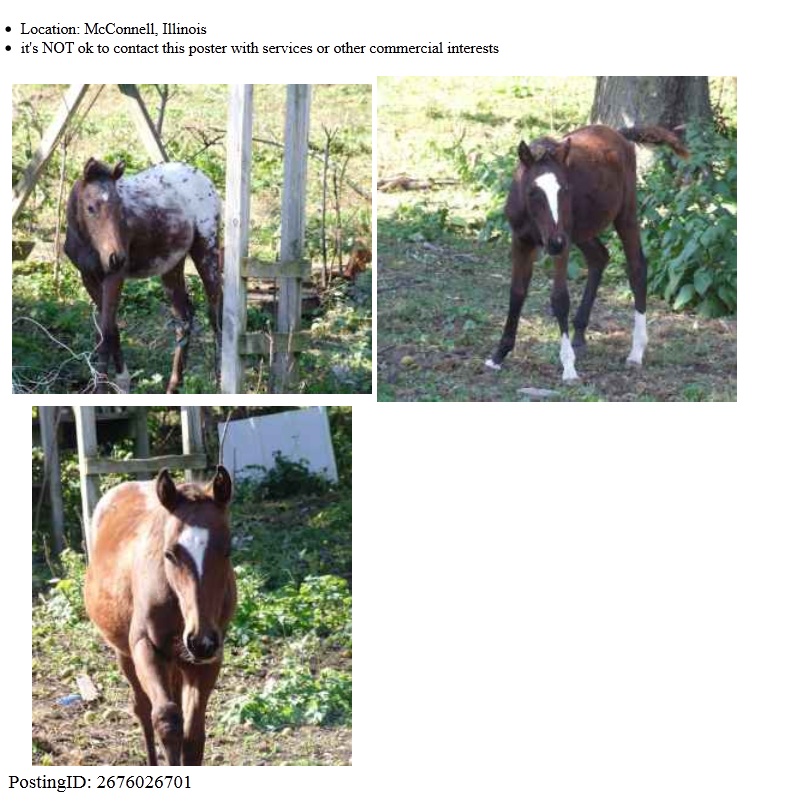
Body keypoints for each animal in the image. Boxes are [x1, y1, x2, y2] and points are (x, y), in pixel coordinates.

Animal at [64, 158, 223, 393]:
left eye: (120, 207)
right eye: (90, 208)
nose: (117, 258)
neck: (86, 242)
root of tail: (204, 178)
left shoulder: (114, 277)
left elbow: (105, 333)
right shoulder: (88, 277)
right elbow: (110, 330)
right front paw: (122, 382)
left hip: (206, 249)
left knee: (216, 312)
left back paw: (222, 381)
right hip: (171, 264)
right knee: (184, 318)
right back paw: (174, 387)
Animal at [84, 467, 236, 766]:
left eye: (228, 550)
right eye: (169, 554)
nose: (200, 641)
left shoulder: (209, 659)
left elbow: (193, 737)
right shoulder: (146, 648)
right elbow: (165, 719)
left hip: (179, 661)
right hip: (126, 653)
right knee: (142, 708)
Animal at [485, 124, 689, 382]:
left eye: (565, 189)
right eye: (533, 192)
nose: (555, 242)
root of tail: (619, 133)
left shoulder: (562, 241)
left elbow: (560, 299)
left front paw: (568, 367)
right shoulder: (521, 241)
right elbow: (517, 292)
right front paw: (498, 355)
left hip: (623, 215)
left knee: (637, 268)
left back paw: (636, 352)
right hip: (582, 232)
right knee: (599, 257)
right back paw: (579, 336)